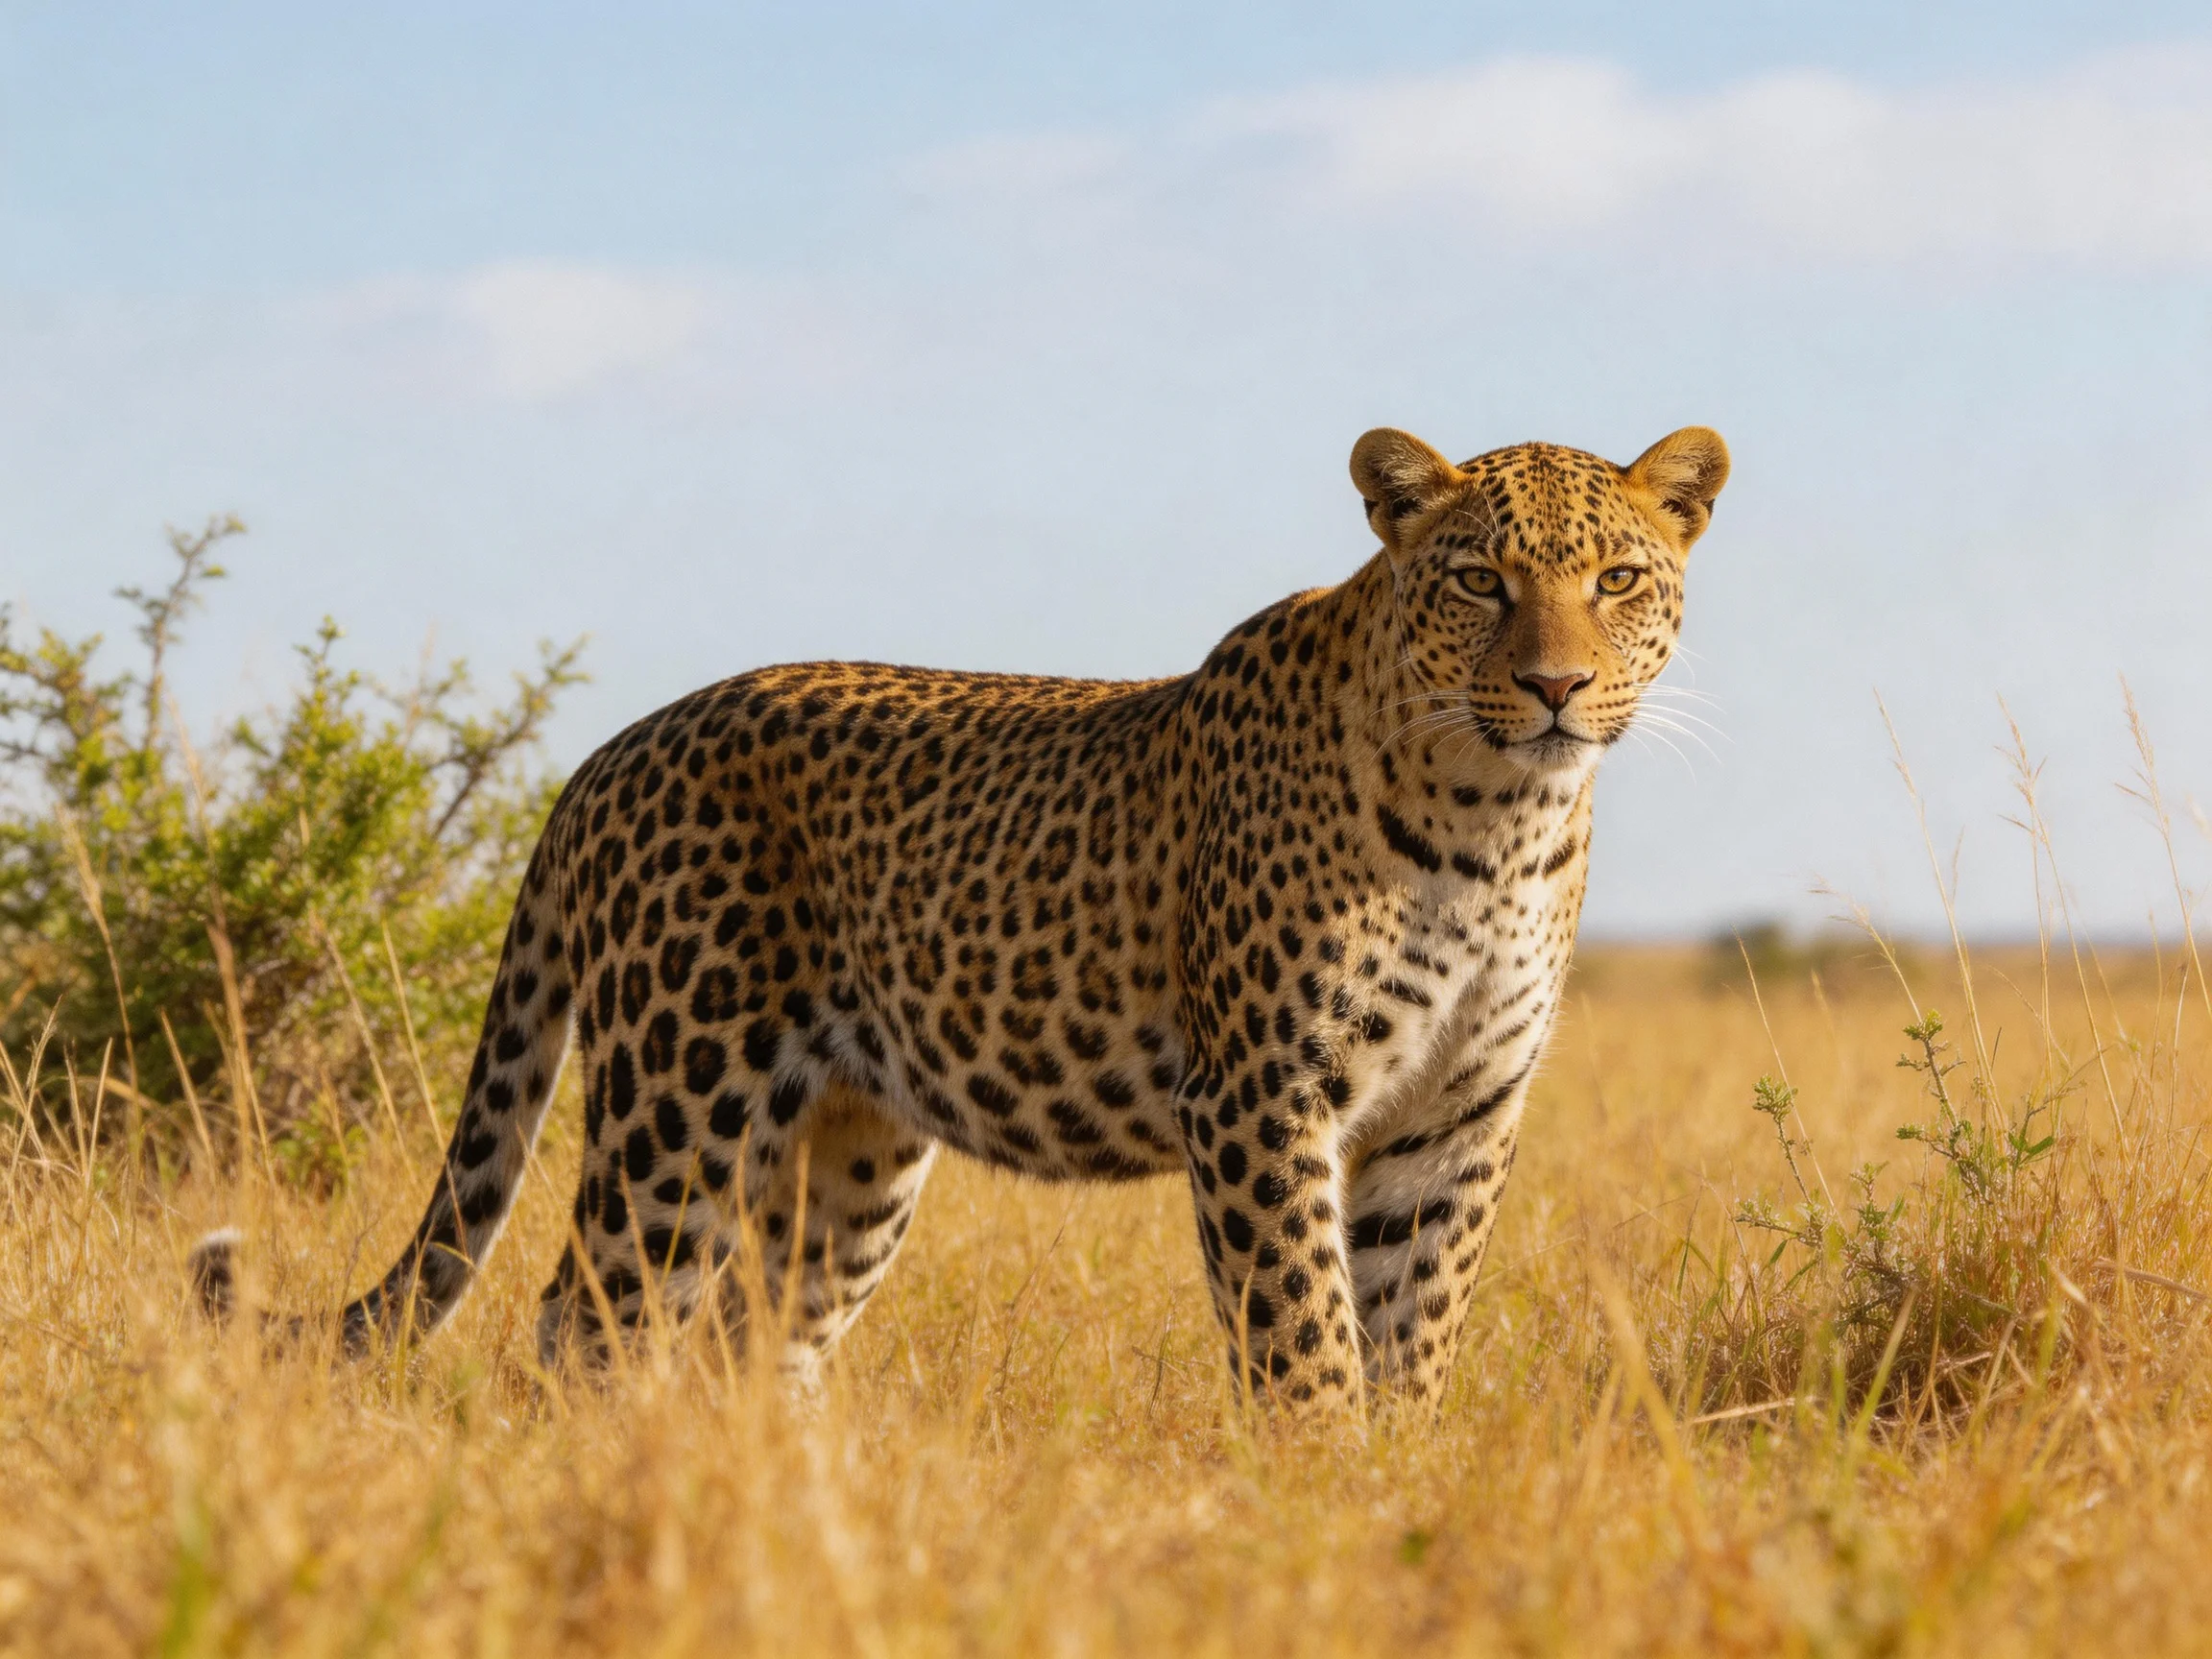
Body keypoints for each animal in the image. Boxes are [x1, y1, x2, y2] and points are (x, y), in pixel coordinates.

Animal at [193, 422, 1728, 1409]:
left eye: (1617, 580)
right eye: (1478, 581)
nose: (1554, 688)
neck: (1497, 822)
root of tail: (609, 750)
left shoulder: (1454, 1115)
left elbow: (1415, 1332)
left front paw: (1394, 1491)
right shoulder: (1261, 1095)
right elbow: (1304, 1338)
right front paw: (1321, 1496)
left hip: (851, 1152)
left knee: (754, 1346)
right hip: (677, 1100)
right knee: (590, 1322)